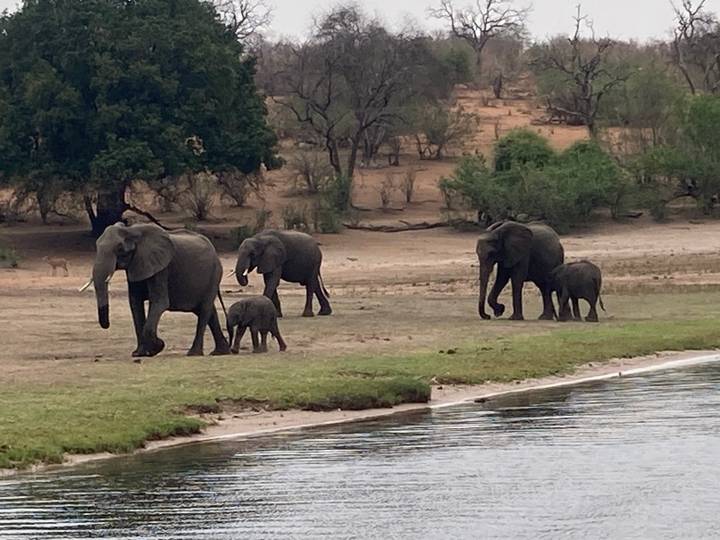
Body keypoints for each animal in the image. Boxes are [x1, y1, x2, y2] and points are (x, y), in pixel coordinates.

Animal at [85, 223, 231, 357]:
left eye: (120, 249)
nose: (107, 325)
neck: (132, 230)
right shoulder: (136, 264)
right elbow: (135, 303)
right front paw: (139, 353)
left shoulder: (161, 268)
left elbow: (160, 302)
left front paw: (157, 347)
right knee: (208, 311)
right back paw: (220, 352)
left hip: (215, 274)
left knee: (205, 309)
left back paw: (194, 353)